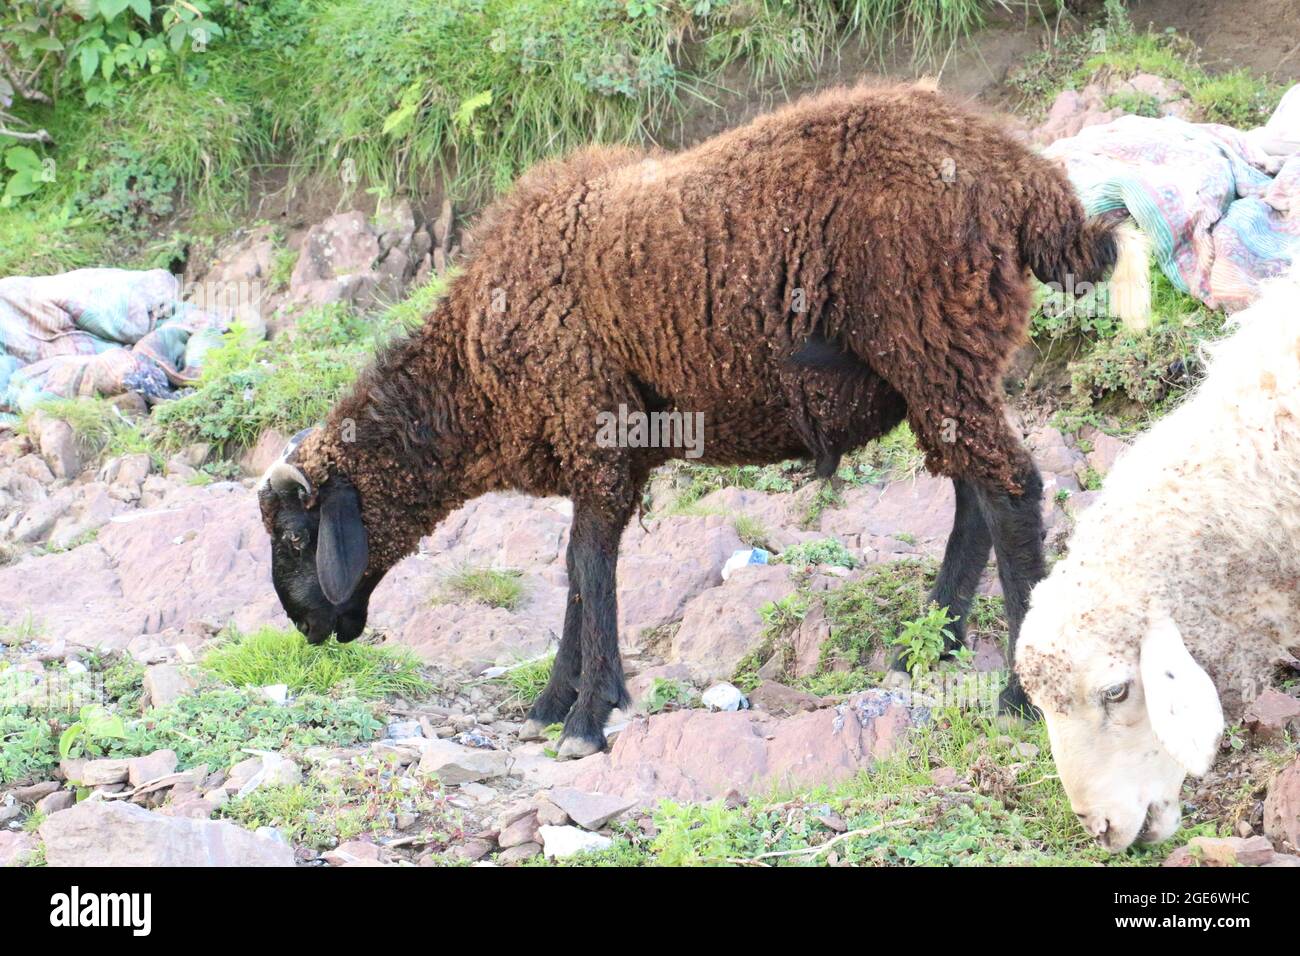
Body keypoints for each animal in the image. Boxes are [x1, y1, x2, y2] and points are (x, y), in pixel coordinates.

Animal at [253, 83, 1138, 754]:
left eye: (297, 539)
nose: (307, 631)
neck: (473, 370)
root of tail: (1021, 176)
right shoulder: (609, 452)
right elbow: (579, 574)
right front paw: (559, 701)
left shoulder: (593, 430)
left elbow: (588, 570)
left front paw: (586, 716)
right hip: (942, 364)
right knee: (973, 497)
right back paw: (932, 641)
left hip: (933, 343)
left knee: (1013, 491)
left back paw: (1018, 694)